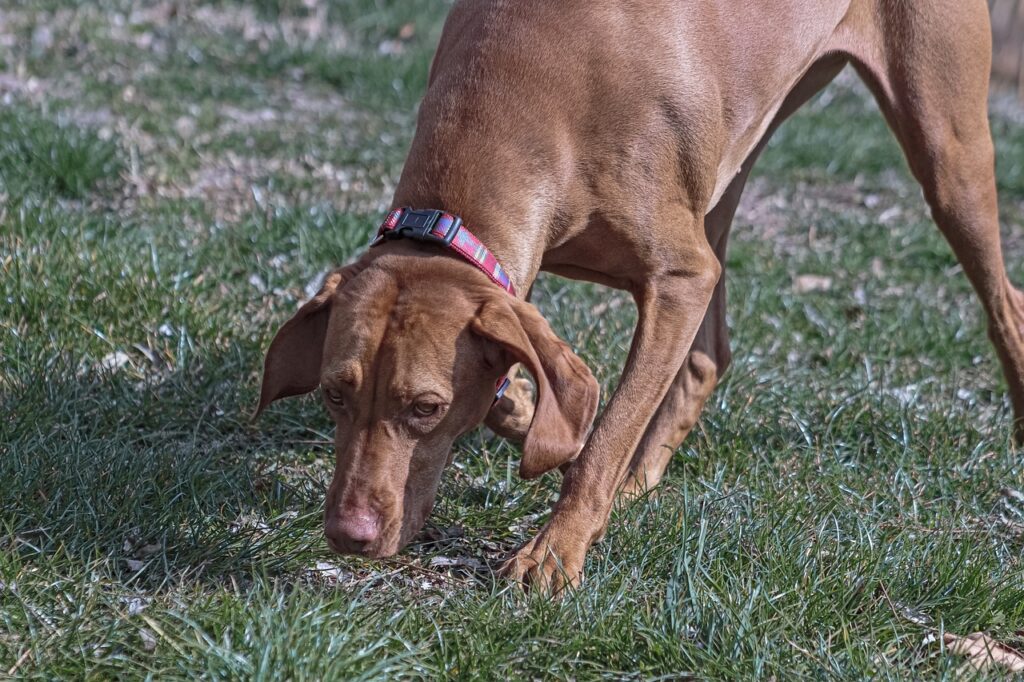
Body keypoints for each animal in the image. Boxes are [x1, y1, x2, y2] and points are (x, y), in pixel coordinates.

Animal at [256, 0, 1015, 589]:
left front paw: (553, 554)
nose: (348, 535)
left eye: (425, 408)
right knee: (710, 354)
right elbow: (554, 399)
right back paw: (638, 483)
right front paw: (531, 413)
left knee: (1008, 304)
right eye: (335, 394)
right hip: (726, 168)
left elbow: (605, 435)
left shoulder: (680, 279)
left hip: (947, 154)